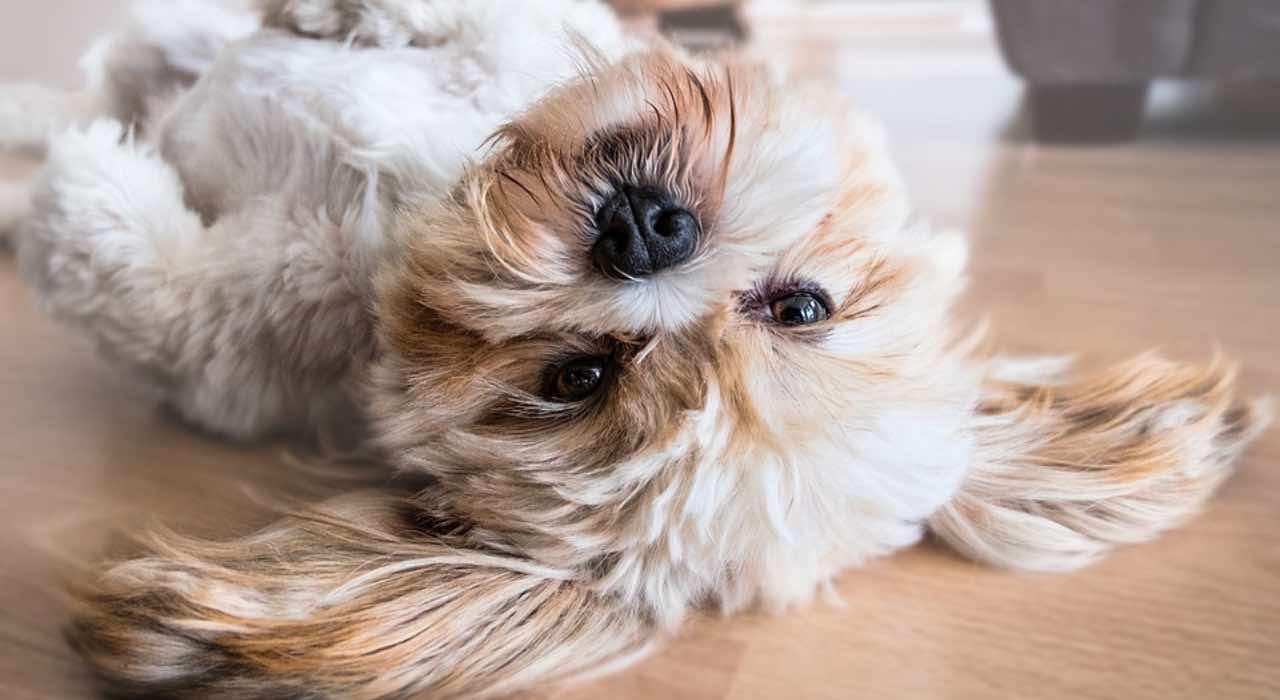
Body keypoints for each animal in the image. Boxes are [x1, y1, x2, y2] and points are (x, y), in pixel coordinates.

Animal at [0, 1, 1269, 700]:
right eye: (801, 306)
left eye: (575, 377)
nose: (645, 230)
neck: (411, 205)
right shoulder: (517, 49)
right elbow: (480, 28)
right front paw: (353, 10)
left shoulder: (234, 350)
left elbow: (143, 282)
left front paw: (83, 189)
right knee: (114, 64)